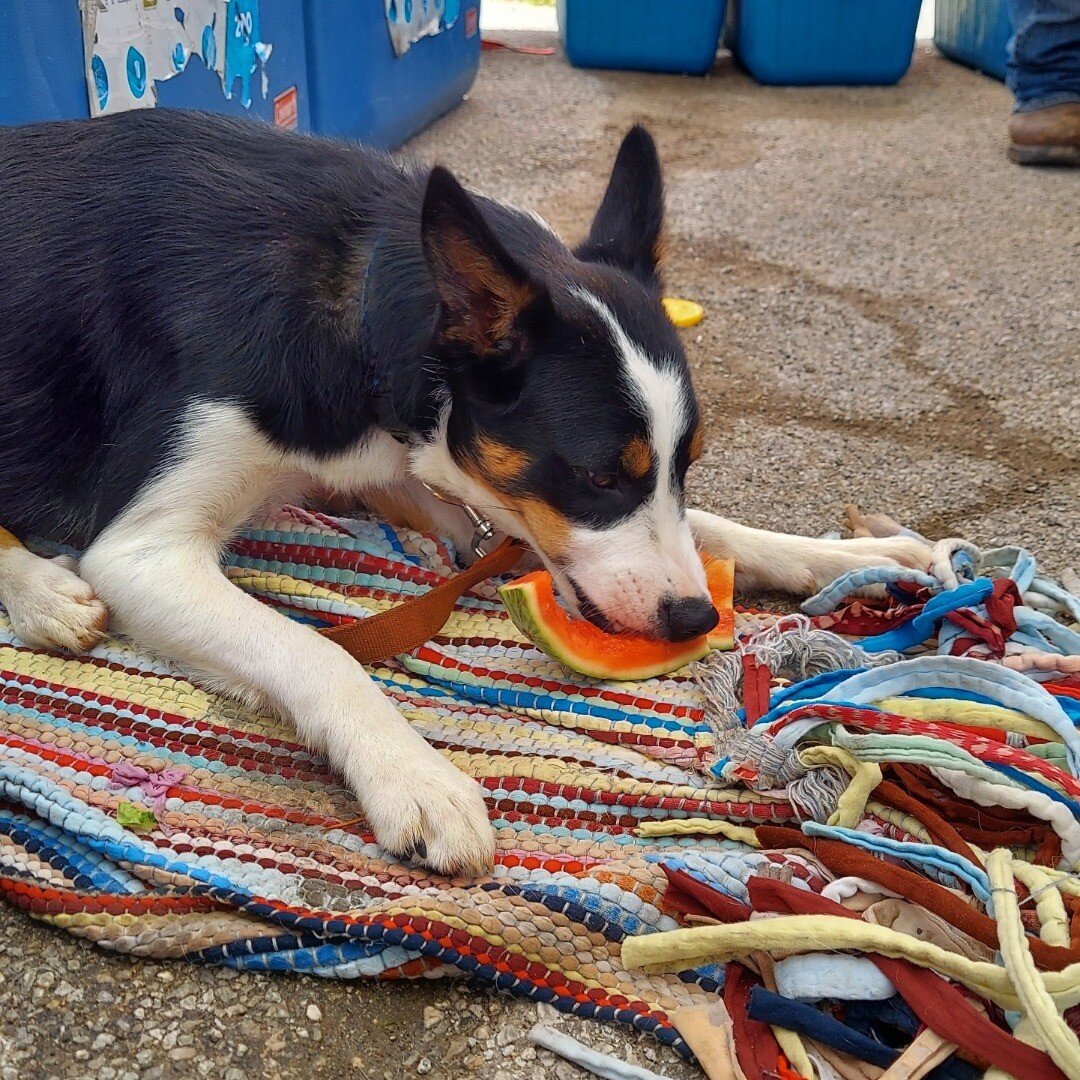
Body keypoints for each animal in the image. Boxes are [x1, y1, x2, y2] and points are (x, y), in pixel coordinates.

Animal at [0, 113, 928, 876]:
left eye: (686, 461)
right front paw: (415, 776)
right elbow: (318, 653)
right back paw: (41, 593)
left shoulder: (392, 463)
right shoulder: (144, 550)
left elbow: (707, 528)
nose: (694, 619)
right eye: (597, 475)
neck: (366, 307)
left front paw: (851, 554)